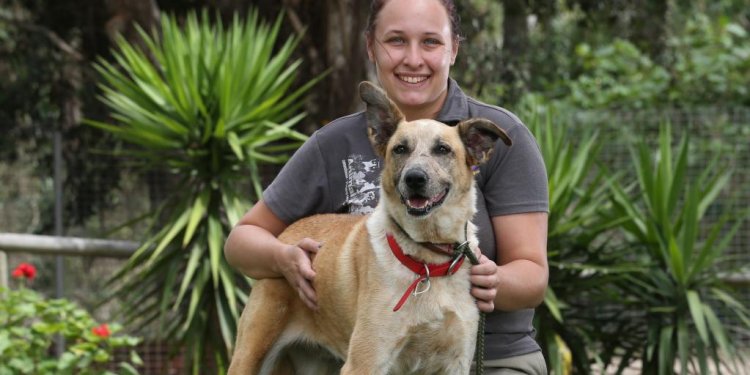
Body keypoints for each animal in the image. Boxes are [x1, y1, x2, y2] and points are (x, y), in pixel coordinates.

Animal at [229, 81, 512, 374]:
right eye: (400, 149)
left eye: (443, 149)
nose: (414, 178)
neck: (428, 260)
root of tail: (285, 234)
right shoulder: (365, 362)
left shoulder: (455, 362)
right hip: (249, 354)